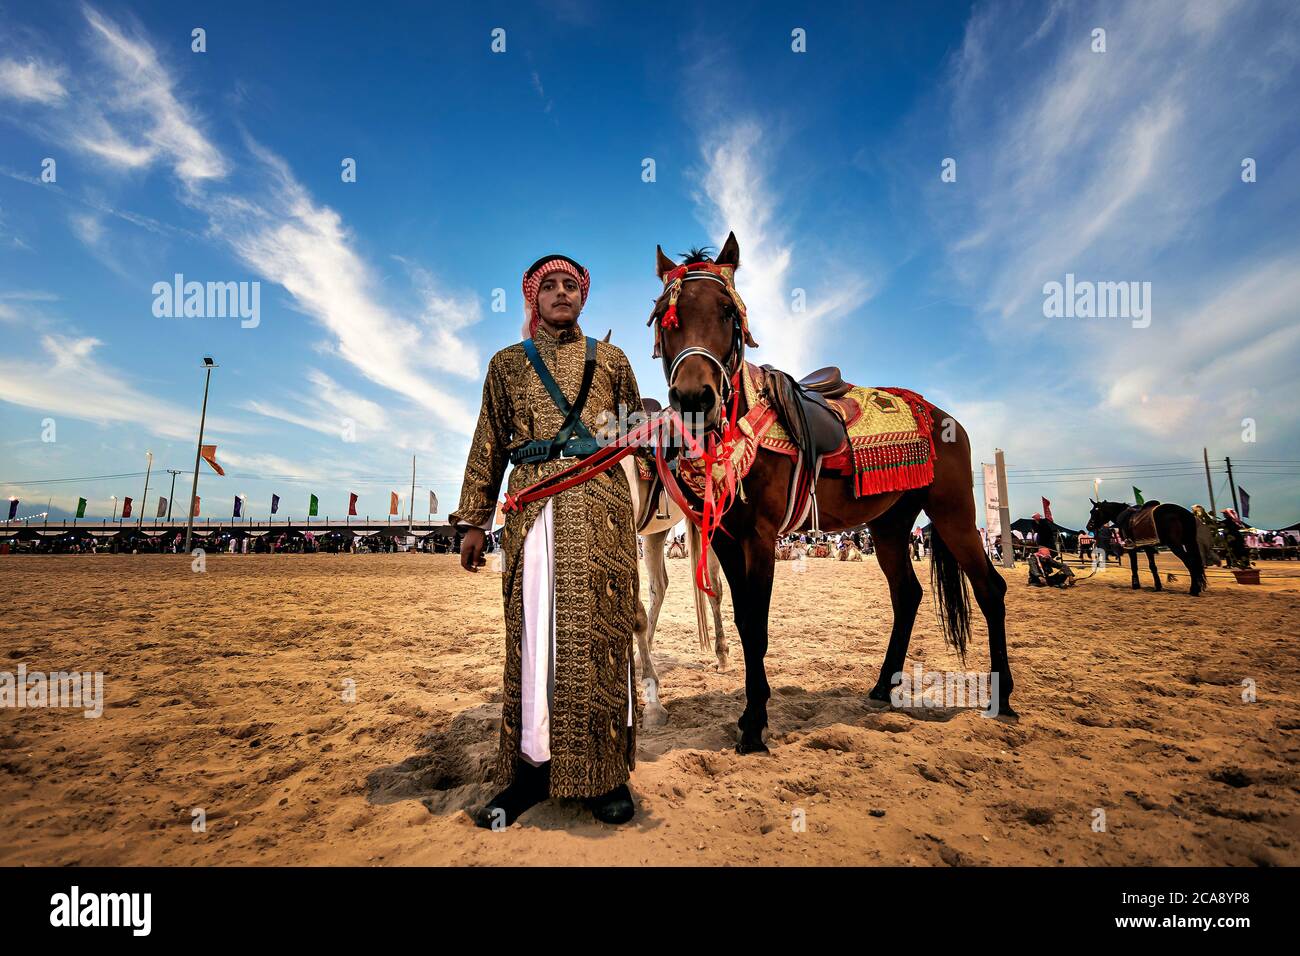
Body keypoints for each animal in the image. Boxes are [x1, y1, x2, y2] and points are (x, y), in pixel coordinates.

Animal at [650, 234, 1013, 754]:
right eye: (667, 315)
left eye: (726, 312)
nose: (695, 398)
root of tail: (941, 415)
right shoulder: (726, 539)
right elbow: (743, 622)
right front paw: (751, 715)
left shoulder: (761, 538)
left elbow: (757, 629)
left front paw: (755, 725)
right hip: (890, 525)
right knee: (908, 593)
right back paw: (883, 687)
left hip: (954, 514)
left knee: (989, 588)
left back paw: (1003, 700)